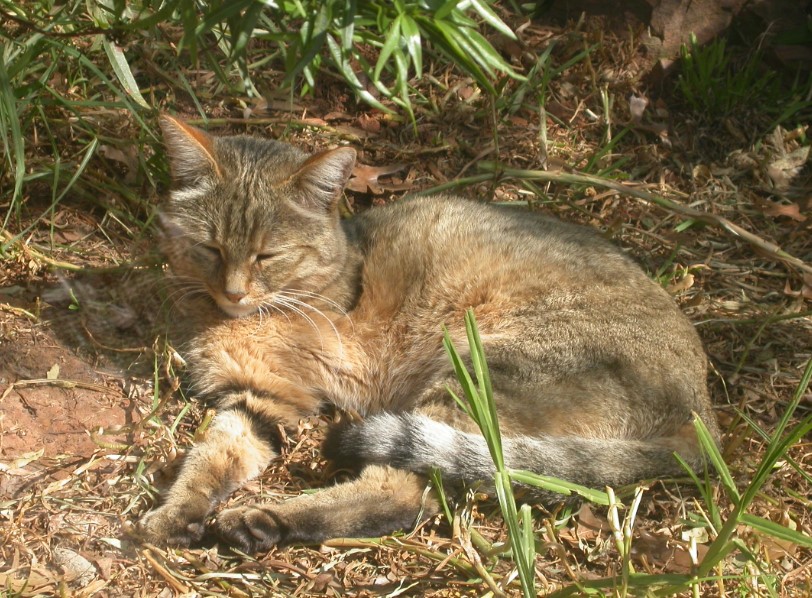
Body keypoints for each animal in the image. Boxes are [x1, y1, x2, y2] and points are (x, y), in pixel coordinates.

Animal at [136, 115, 720, 556]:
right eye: (210, 248)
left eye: (267, 255)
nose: (233, 292)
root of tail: (703, 417)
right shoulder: (259, 397)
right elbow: (209, 457)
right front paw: (174, 513)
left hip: (478, 370)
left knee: (406, 490)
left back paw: (263, 520)